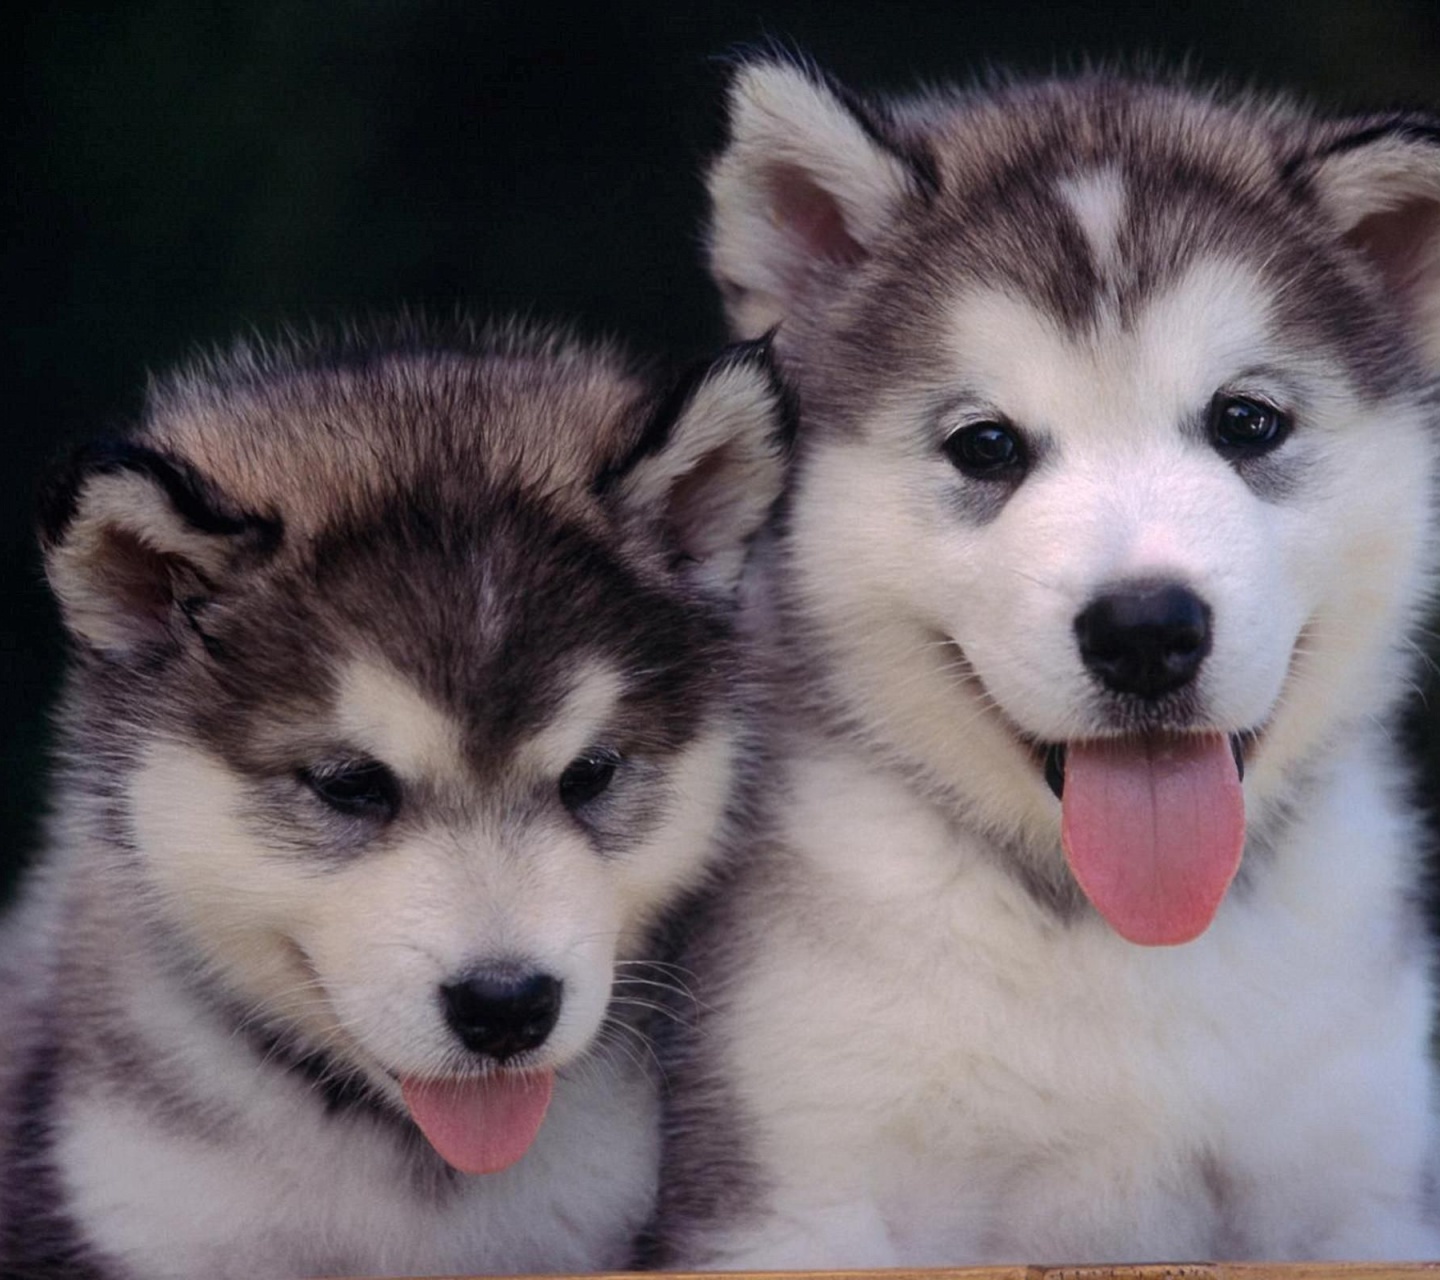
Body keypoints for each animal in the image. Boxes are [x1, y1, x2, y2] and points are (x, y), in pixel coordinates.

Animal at [650, 57, 1440, 1261]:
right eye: (986, 445)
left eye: (1247, 421)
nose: (1146, 631)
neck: (1120, 939)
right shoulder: (791, 1186)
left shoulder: (1368, 1182)